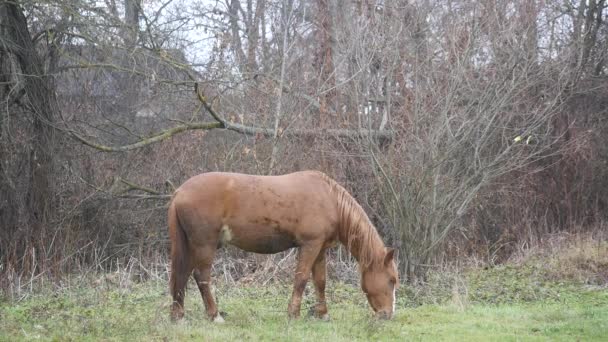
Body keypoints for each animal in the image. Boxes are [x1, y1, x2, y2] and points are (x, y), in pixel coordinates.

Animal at [169, 171, 400, 324]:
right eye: (391, 280)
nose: (388, 314)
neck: (330, 199)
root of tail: (180, 191)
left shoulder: (320, 249)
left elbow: (320, 281)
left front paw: (323, 313)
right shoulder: (310, 245)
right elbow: (301, 278)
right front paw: (293, 314)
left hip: (191, 246)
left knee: (183, 275)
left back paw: (178, 316)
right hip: (204, 245)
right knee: (201, 277)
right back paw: (215, 316)